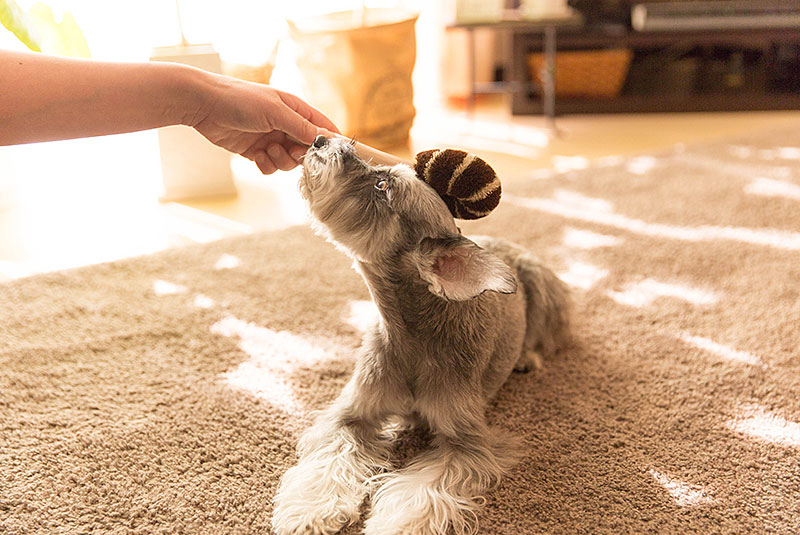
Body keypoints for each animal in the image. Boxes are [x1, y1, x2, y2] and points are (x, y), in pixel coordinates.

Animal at [272, 135, 572, 535]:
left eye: (384, 185)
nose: (322, 139)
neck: (411, 337)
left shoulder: (466, 444)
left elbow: (423, 491)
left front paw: (395, 525)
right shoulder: (351, 414)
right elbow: (329, 460)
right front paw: (309, 510)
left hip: (541, 283)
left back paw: (527, 356)